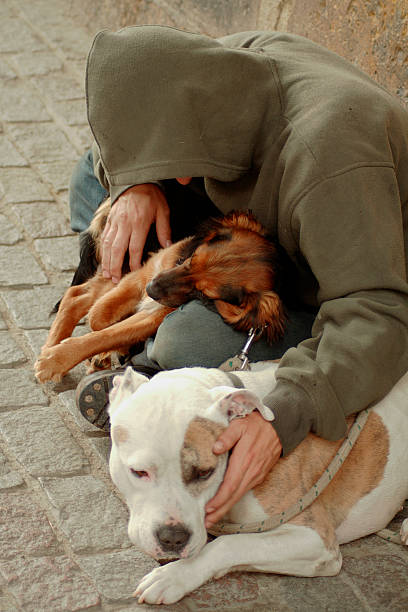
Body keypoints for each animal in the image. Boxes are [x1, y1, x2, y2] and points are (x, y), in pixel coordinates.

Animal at [35, 201, 290, 382]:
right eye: (192, 259)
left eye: (203, 293)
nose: (151, 289)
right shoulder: (142, 273)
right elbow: (99, 319)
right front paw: (58, 357)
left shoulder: (155, 313)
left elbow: (110, 332)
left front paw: (60, 359)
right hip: (122, 257)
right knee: (77, 296)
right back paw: (52, 348)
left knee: (79, 296)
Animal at [107, 366, 408, 604]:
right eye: (139, 472)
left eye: (205, 472)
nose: (173, 538)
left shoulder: (316, 539)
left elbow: (228, 544)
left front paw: (174, 576)